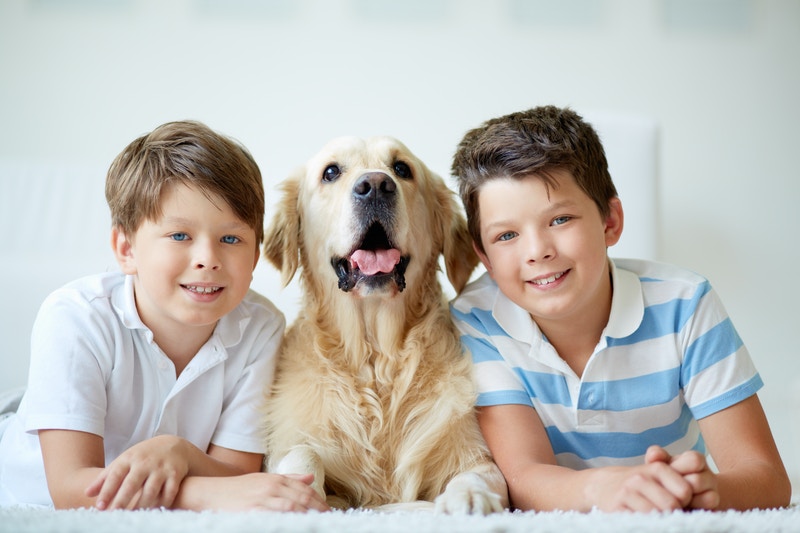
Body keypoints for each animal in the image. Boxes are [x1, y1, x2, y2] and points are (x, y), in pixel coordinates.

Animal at [262, 136, 506, 512]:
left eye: (402, 169)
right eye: (330, 172)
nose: (375, 186)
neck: (375, 355)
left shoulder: (475, 452)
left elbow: (475, 474)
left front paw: (470, 497)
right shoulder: (289, 442)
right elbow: (301, 454)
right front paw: (298, 493)